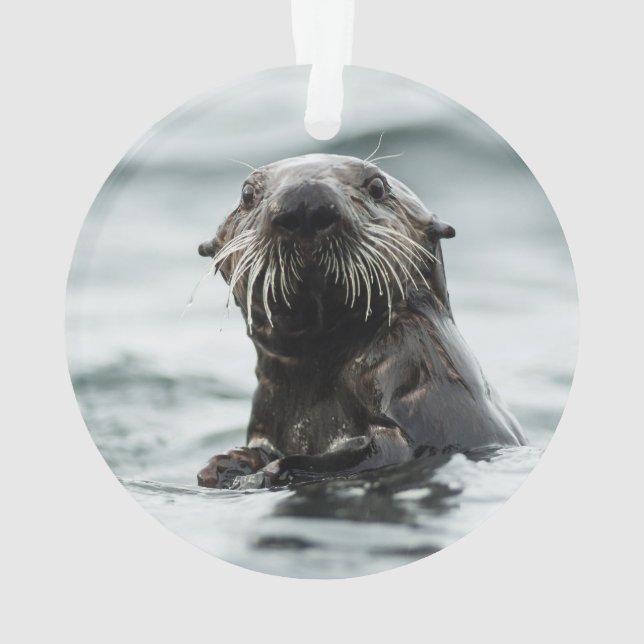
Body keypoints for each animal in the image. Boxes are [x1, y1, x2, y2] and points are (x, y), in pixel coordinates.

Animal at [196, 153, 526, 489]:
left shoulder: (419, 379)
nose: (305, 203)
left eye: (377, 186)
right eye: (247, 194)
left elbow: (381, 451)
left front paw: (267, 472)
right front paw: (226, 465)